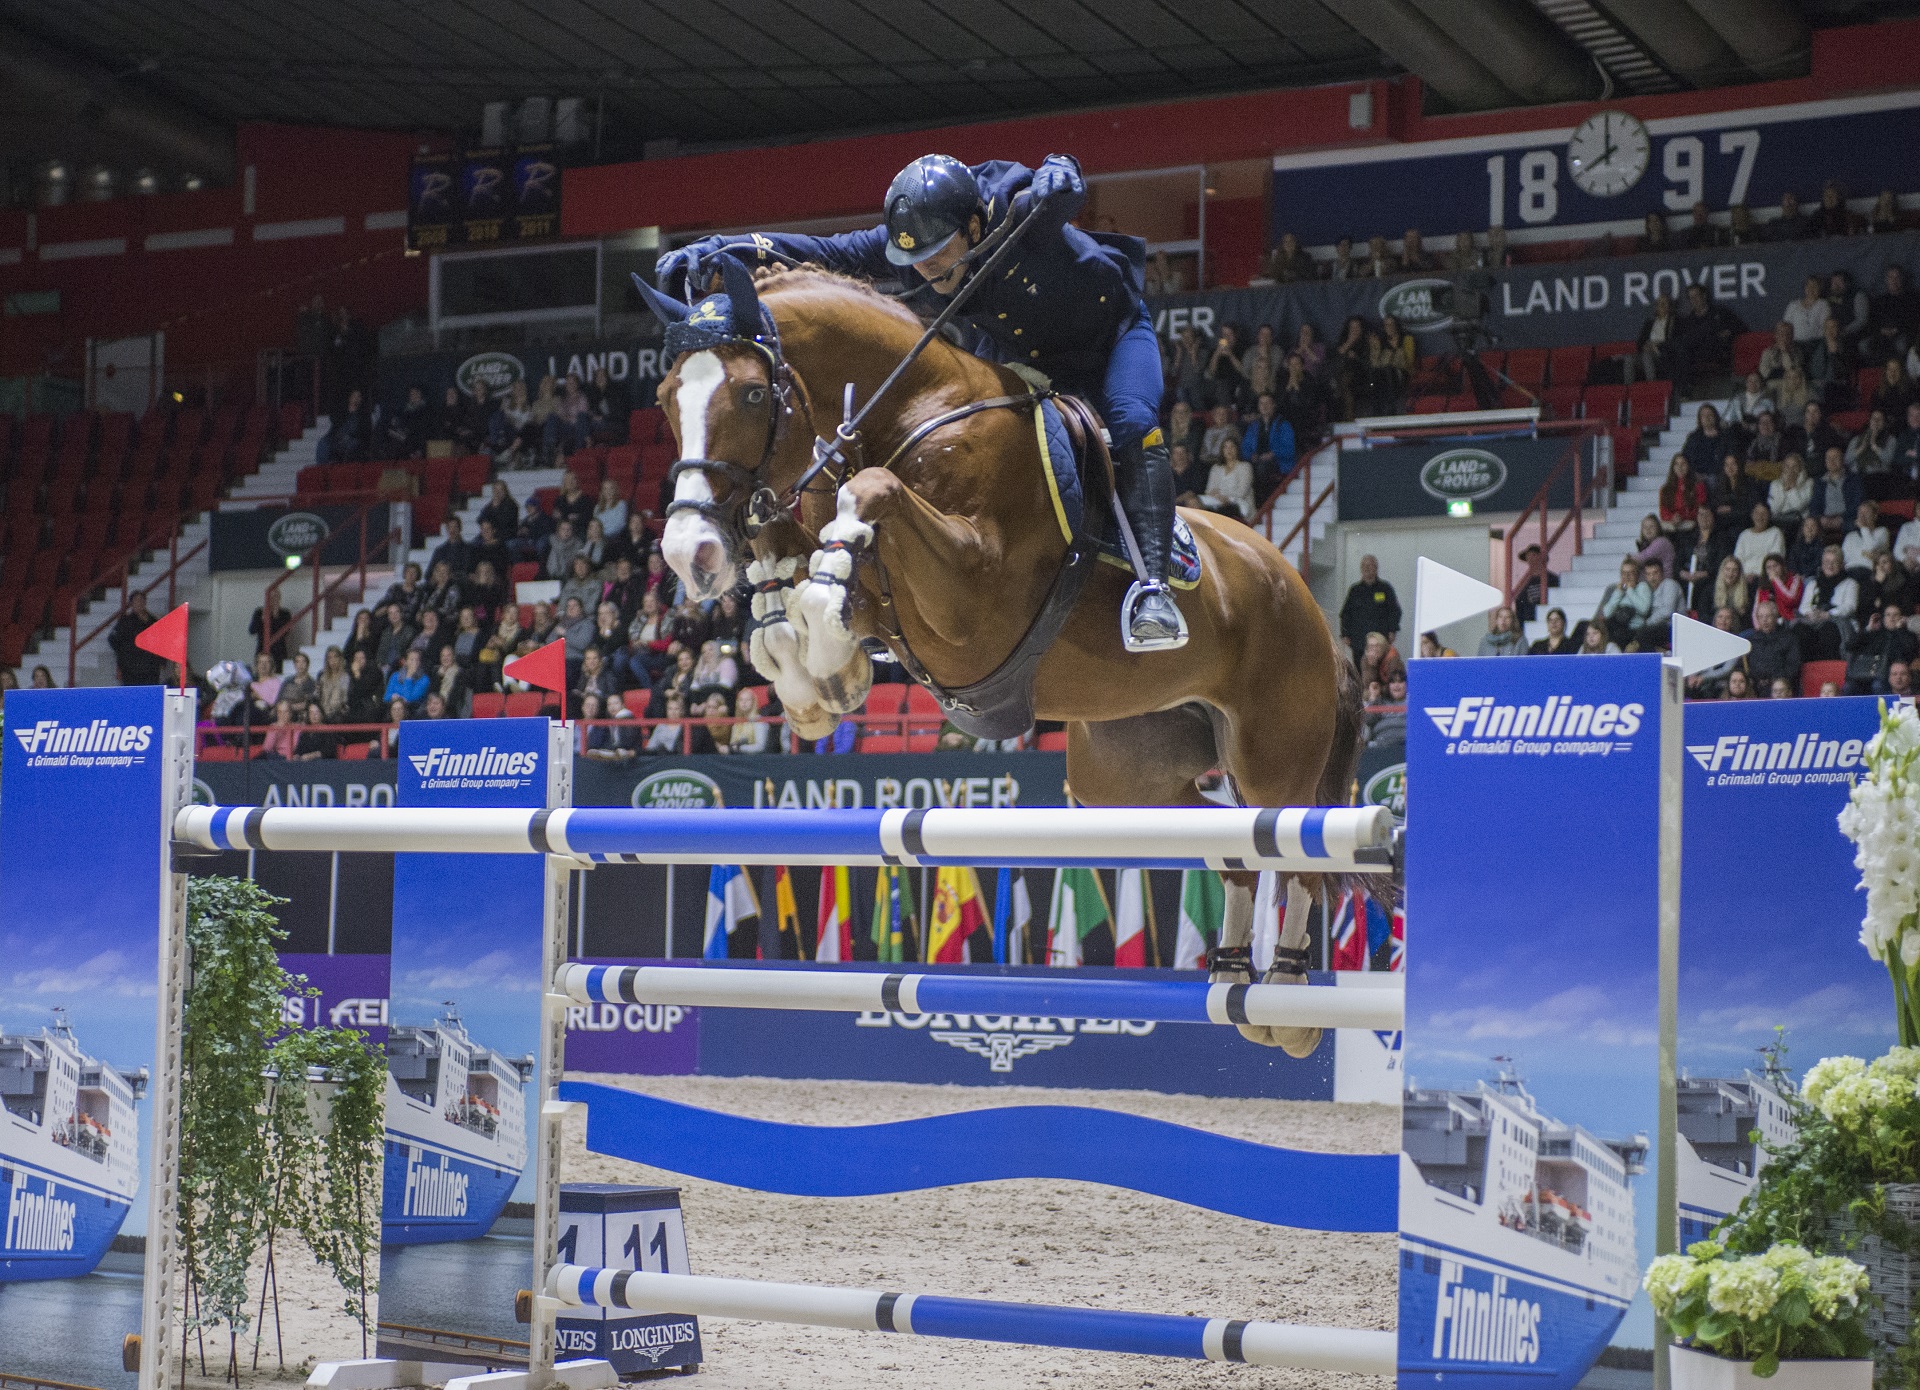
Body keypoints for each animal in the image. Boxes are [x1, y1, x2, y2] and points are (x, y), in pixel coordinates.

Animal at [648, 263, 1367, 1052]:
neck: (914, 413)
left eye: (751, 392)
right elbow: (795, 582)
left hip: (1273, 752)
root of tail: (1309, 604)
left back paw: (1289, 998)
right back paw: (1236, 973)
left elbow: (865, 500)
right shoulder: (893, 607)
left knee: (1298, 847)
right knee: (1231, 841)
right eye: (665, 398)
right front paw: (818, 681)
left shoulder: (973, 604)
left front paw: (828, 656)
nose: (689, 553)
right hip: (1123, 779)